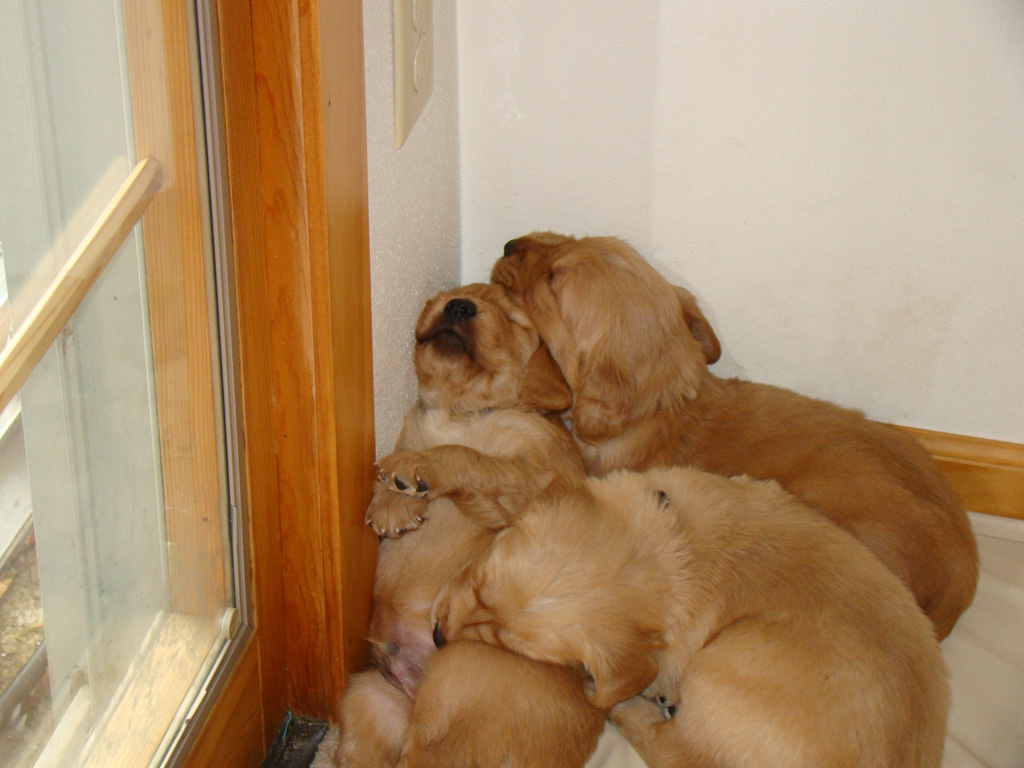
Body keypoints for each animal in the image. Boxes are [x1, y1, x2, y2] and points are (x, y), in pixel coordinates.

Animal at [333, 284, 606, 768]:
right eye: (452, 295)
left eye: (514, 319)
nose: (459, 307)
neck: (461, 410)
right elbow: (402, 461)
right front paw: (392, 500)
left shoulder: (535, 480)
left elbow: (467, 456)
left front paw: (415, 469)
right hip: (367, 696)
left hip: (453, 681)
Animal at [434, 466, 950, 768]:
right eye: (478, 577)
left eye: (507, 644)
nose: (437, 637)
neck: (677, 547)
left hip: (719, 667)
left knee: (672, 748)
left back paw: (632, 709)